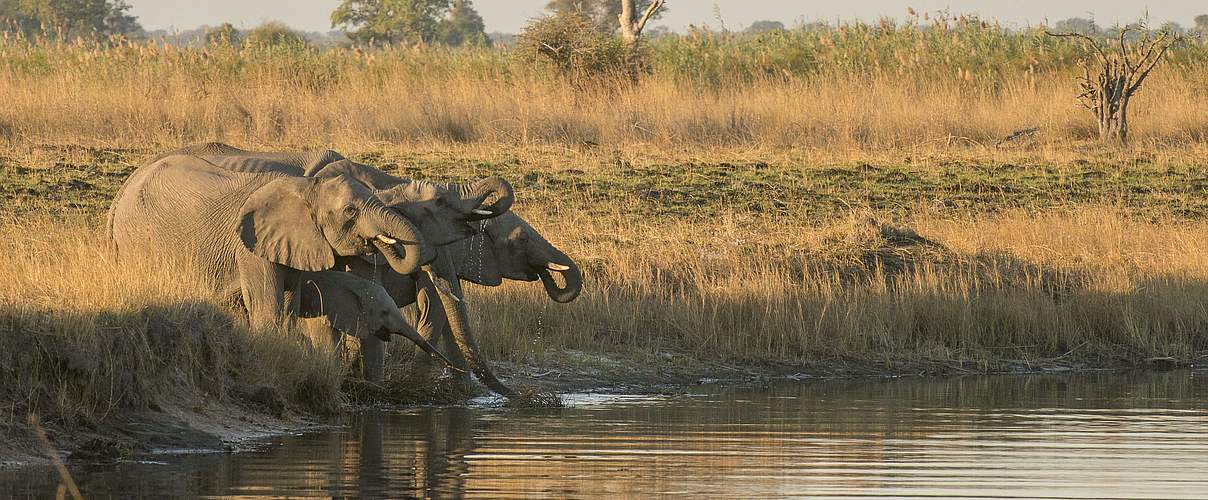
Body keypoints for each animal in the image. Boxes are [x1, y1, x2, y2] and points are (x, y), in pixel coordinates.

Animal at [106, 152, 432, 330]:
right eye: (350, 211)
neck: (307, 188)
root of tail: (120, 195)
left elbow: (288, 304)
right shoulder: (249, 246)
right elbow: (267, 306)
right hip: (139, 238)